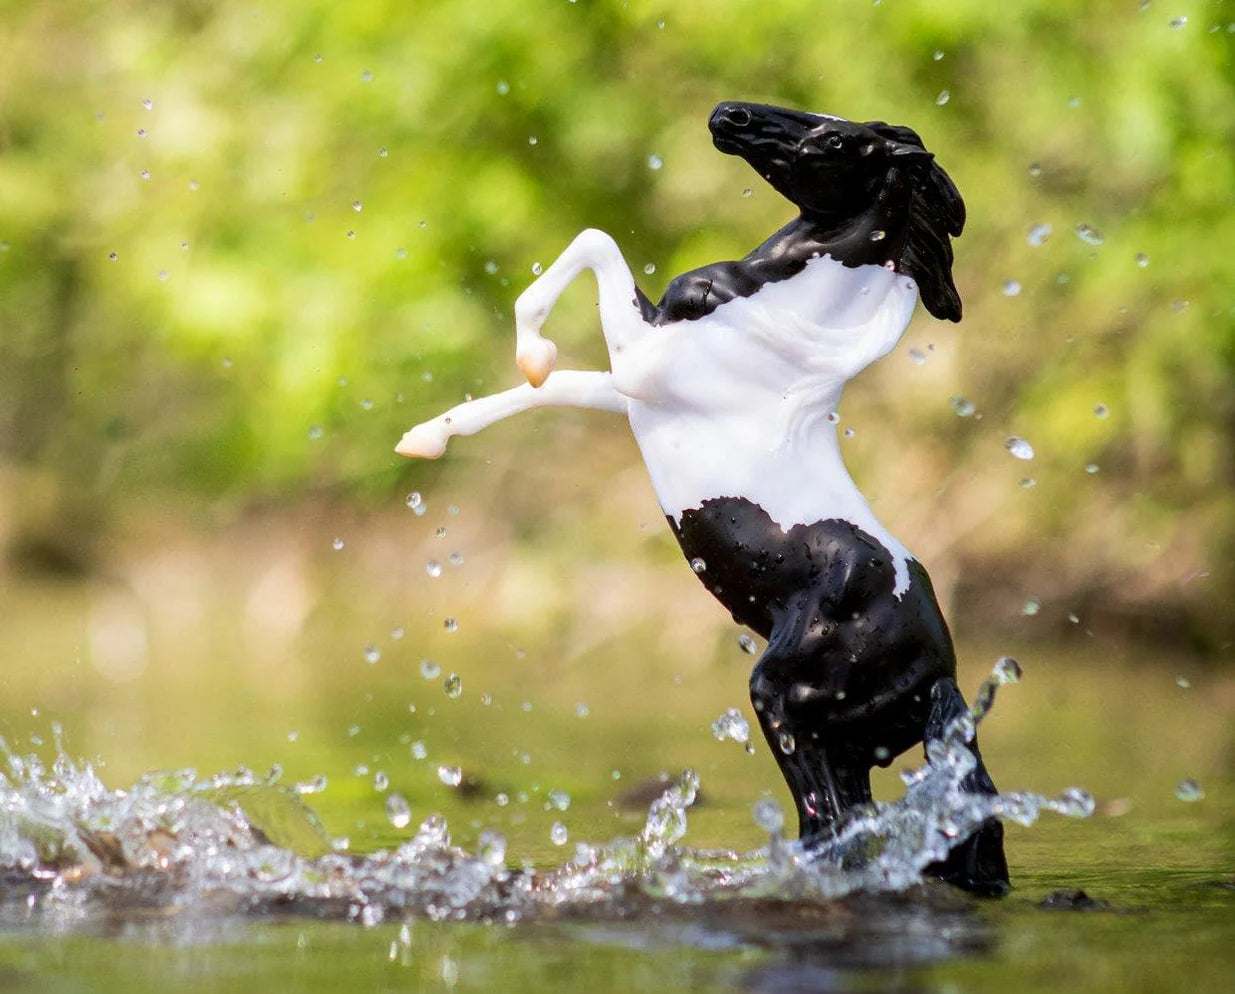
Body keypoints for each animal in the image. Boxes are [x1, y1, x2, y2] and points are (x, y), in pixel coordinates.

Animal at [400, 104, 1007, 893]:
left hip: (789, 706)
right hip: (854, 744)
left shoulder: (641, 365)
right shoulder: (631, 387)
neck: (763, 311)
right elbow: (549, 386)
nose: (730, 116)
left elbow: (594, 246)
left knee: (827, 824)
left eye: (838, 139)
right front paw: (427, 437)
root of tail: (938, 674)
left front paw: (530, 348)